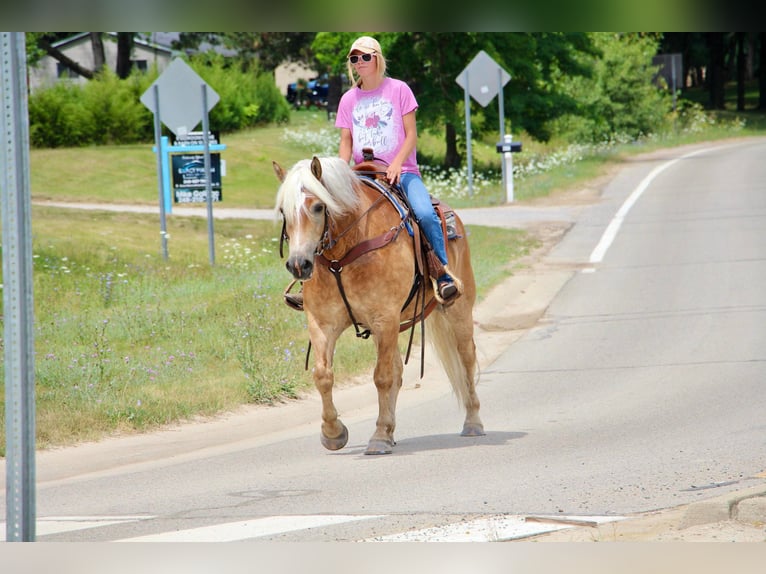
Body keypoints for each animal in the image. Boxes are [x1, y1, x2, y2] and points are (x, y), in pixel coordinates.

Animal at [272, 156, 484, 454]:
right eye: (283, 210)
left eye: (318, 206)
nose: (298, 264)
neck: (342, 256)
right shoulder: (324, 323)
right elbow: (323, 375)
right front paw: (333, 433)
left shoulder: (385, 319)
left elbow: (382, 377)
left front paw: (379, 436)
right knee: (398, 369)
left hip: (458, 310)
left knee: (466, 358)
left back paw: (473, 422)